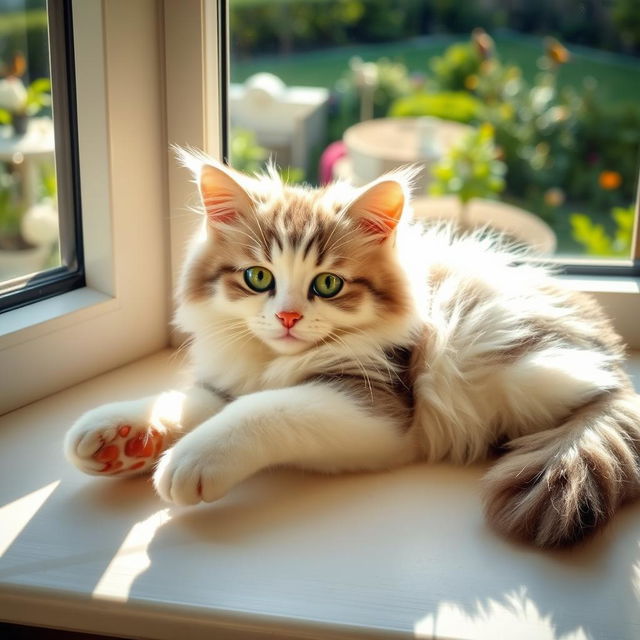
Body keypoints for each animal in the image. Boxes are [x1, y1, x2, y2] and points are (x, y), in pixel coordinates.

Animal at [63, 152, 640, 548]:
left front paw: (190, 458)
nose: (288, 317)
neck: (275, 361)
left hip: (519, 366)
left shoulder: (378, 405)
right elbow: (192, 400)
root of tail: (613, 353)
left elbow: (263, 410)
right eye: (257, 277)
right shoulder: (232, 377)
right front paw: (118, 436)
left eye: (328, 285)